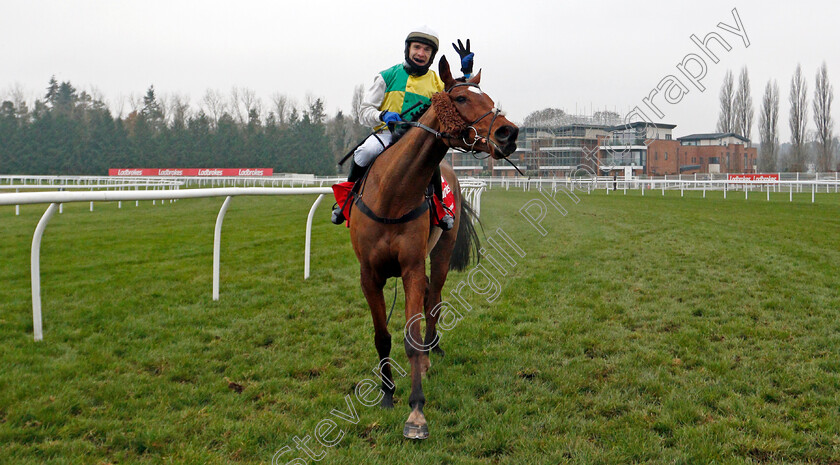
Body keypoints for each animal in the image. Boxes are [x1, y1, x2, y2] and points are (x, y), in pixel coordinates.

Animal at [348, 55, 520, 438]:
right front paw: (387, 394)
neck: (393, 193)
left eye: (488, 97)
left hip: (441, 252)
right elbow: (382, 336)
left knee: (435, 300)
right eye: (461, 98)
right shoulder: (369, 274)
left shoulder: (411, 266)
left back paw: (432, 351)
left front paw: (416, 411)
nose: (508, 133)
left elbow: (412, 336)